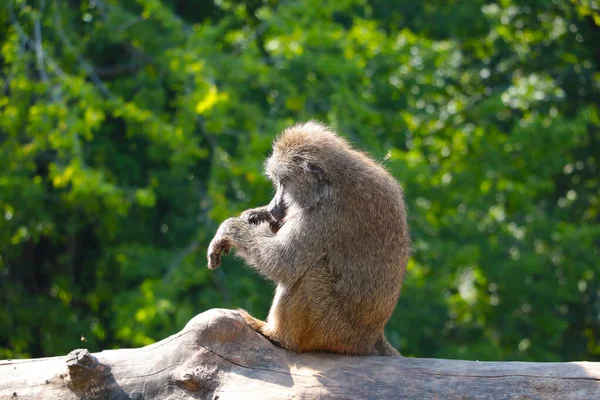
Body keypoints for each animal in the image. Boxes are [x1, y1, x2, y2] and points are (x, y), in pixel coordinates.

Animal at [205, 121, 408, 356]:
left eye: (284, 182)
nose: (274, 206)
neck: (332, 182)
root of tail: (371, 338)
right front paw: (256, 215)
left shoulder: (324, 215)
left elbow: (284, 262)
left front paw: (229, 228)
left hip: (332, 330)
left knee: (311, 272)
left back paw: (277, 335)